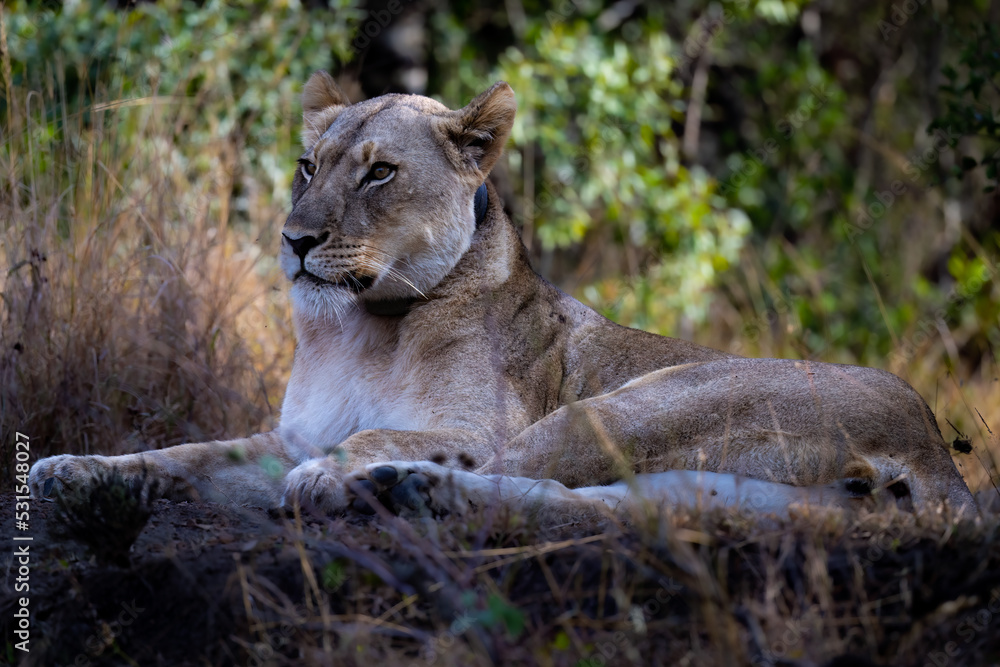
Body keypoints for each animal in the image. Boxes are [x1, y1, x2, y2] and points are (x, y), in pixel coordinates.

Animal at [30, 71, 976, 521]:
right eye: (308, 166)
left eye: (379, 171)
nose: (294, 240)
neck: (359, 330)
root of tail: (933, 442)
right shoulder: (279, 431)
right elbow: (183, 451)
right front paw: (72, 467)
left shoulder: (476, 424)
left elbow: (375, 433)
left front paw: (332, 472)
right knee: (590, 502)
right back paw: (409, 491)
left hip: (631, 405)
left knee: (517, 474)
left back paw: (389, 485)